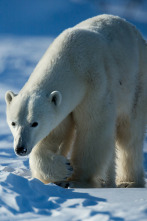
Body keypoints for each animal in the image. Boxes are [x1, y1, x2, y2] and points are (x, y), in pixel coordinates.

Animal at [5, 13, 147, 187]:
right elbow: (55, 134)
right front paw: (63, 169)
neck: (73, 61)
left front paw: (77, 180)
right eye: (13, 123)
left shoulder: (96, 84)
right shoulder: (63, 105)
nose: (20, 148)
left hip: (137, 82)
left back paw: (128, 182)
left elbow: (94, 129)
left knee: (130, 135)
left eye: (34, 123)